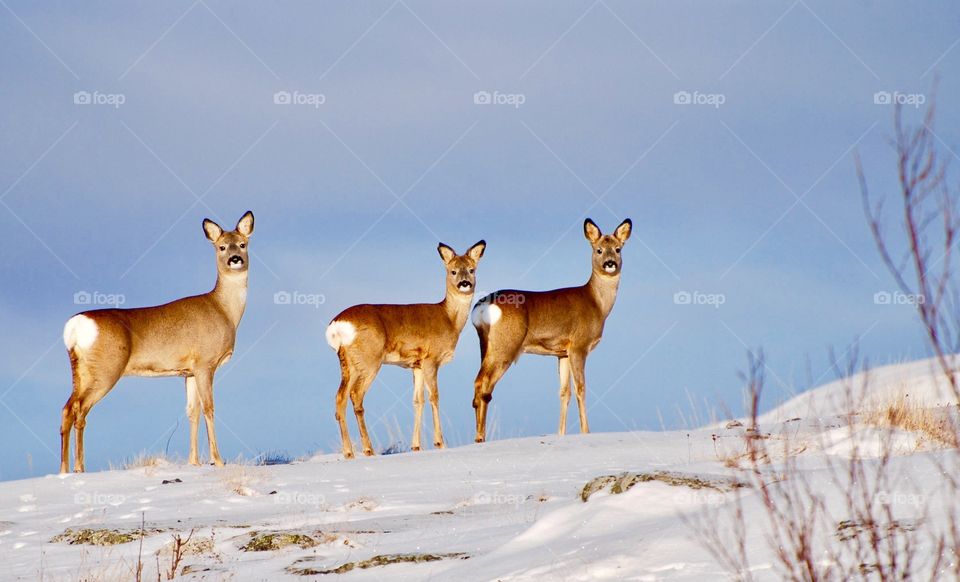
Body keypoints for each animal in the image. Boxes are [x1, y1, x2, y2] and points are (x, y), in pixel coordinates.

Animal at [59, 211, 255, 473]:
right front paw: (218, 460)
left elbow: (191, 412)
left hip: (80, 369)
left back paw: (64, 470)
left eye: (243, 244)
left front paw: (194, 462)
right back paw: (79, 468)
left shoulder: (188, 371)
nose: (235, 259)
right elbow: (209, 409)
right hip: (106, 368)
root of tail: (75, 326)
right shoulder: (205, 363)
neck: (225, 311)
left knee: (68, 408)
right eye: (221, 246)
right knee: (80, 410)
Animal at [325, 240, 486, 459]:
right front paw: (440, 443)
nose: (464, 283)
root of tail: (337, 325)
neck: (450, 320)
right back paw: (368, 449)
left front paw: (416, 446)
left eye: (471, 269)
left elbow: (418, 401)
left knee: (340, 397)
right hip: (369, 359)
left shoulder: (416, 364)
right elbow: (434, 397)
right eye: (452, 271)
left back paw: (349, 452)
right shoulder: (431, 359)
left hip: (348, 363)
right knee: (356, 395)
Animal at [470, 218, 631, 443]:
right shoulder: (579, 346)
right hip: (505, 345)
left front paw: (561, 434)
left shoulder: (562, 352)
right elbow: (581, 388)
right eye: (598, 250)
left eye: (618, 249)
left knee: (478, 384)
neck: (597, 304)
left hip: (486, 346)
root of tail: (482, 306)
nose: (610, 263)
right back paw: (479, 437)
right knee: (483, 384)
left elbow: (564, 392)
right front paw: (586, 432)